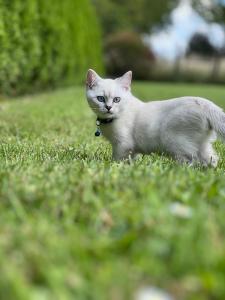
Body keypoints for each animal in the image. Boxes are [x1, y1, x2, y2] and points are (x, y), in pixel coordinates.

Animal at [85, 68, 225, 166]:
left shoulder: (122, 144)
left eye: (117, 99)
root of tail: (204, 103)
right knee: (212, 159)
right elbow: (131, 159)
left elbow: (118, 159)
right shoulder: (131, 149)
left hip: (176, 143)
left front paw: (114, 166)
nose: (108, 107)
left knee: (191, 161)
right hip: (202, 145)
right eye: (100, 98)